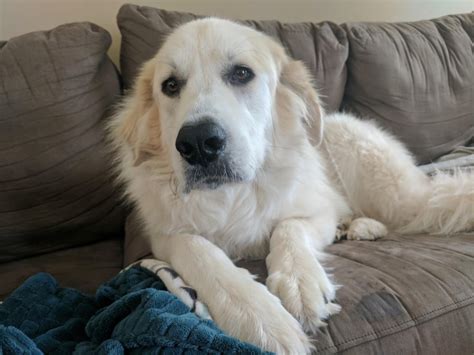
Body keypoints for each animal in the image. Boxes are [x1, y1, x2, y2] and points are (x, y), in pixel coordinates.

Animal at [112, 18, 474, 354]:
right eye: (171, 85)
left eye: (241, 73)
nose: (198, 143)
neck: (234, 196)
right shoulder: (162, 236)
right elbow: (198, 249)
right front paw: (257, 315)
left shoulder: (318, 211)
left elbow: (288, 227)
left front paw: (301, 283)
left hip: (376, 176)